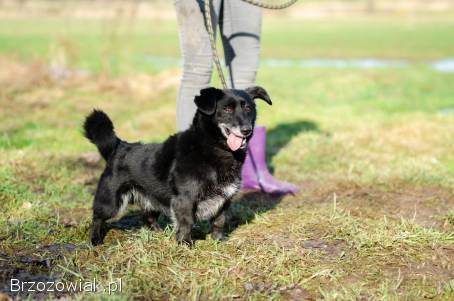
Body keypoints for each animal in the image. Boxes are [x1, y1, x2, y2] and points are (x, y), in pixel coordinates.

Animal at [83, 86, 272, 244]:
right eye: (226, 109)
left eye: (248, 108)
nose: (246, 130)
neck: (213, 148)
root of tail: (119, 146)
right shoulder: (185, 198)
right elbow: (186, 222)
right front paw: (185, 244)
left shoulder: (224, 199)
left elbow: (219, 221)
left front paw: (218, 241)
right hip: (111, 202)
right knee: (97, 217)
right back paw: (95, 239)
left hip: (153, 197)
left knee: (148, 217)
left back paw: (158, 233)